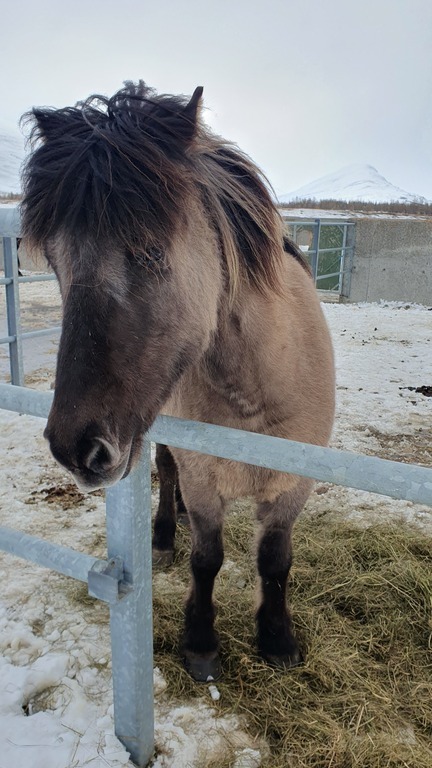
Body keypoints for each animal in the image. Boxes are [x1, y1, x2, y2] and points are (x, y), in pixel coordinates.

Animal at [21, 81, 335, 681]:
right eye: (55, 262)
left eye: (151, 250)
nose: (73, 447)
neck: (254, 394)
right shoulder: (203, 476)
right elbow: (207, 556)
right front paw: (201, 643)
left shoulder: (294, 485)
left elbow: (275, 558)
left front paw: (277, 639)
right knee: (167, 474)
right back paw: (167, 532)